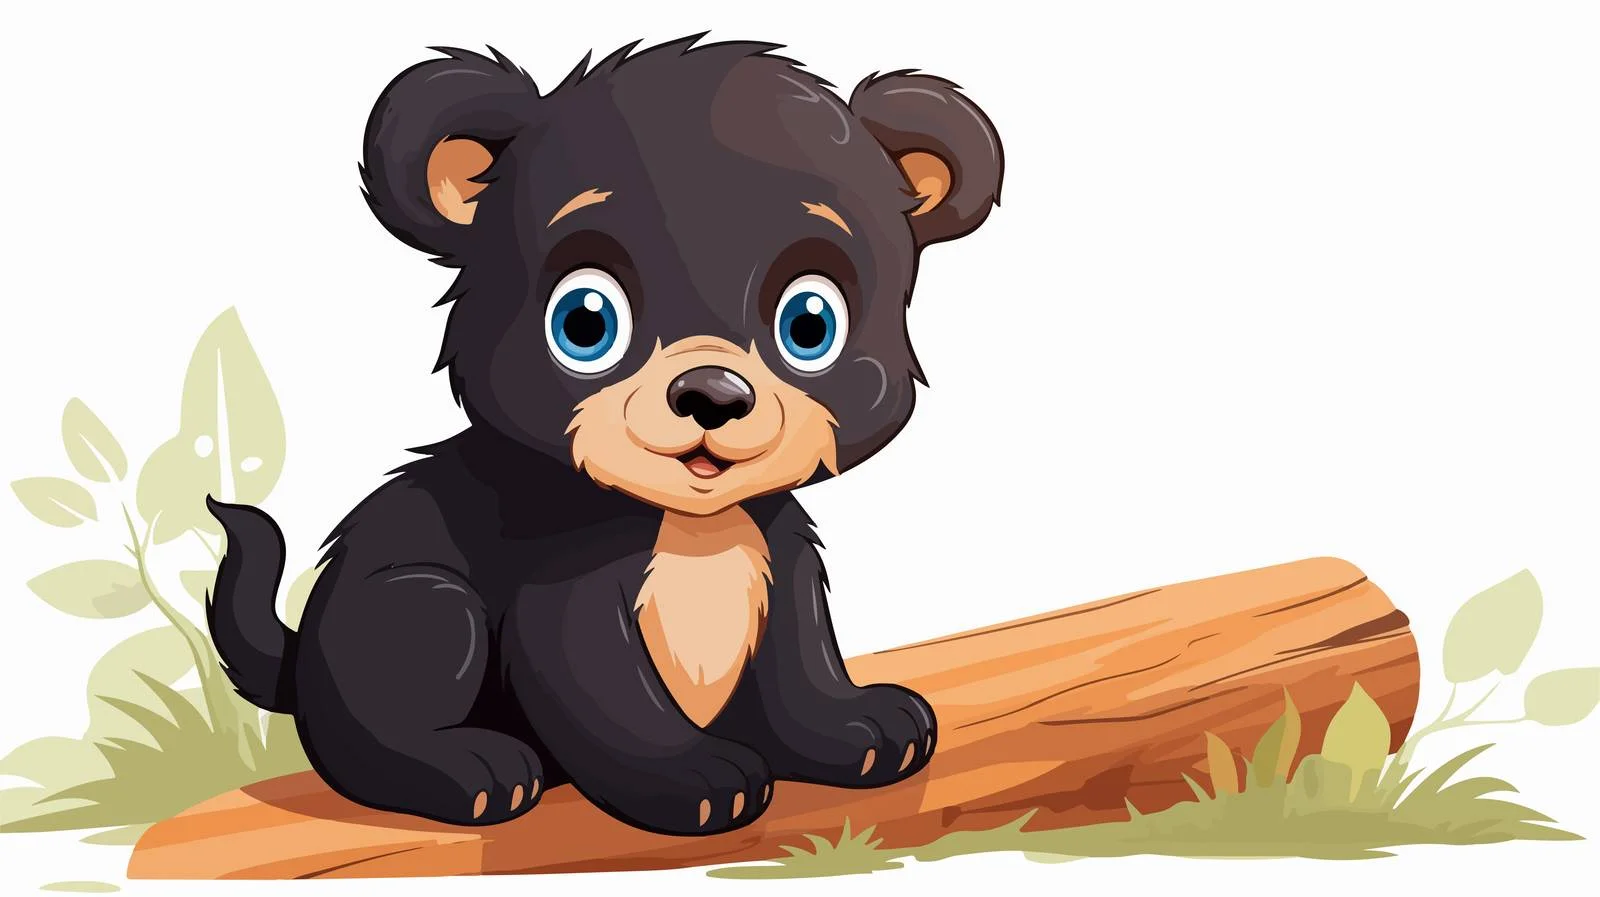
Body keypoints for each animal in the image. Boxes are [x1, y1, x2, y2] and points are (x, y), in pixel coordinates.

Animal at [204, 34, 1003, 836]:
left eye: (810, 324)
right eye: (585, 321)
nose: (711, 394)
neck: (696, 526)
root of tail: (301, 659)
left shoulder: (781, 553)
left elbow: (800, 660)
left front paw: (862, 727)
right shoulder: (562, 591)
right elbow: (604, 687)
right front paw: (693, 777)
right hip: (416, 605)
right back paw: (472, 770)